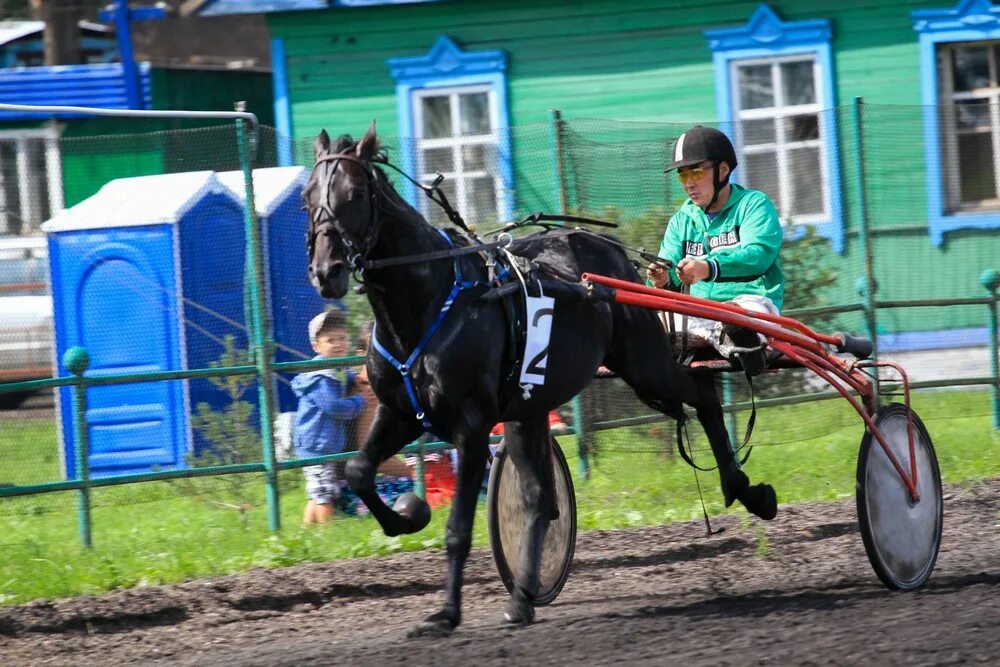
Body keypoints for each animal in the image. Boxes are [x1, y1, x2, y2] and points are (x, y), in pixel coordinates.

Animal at [300, 122, 776, 640]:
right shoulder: (400, 413)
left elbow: (458, 529)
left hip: (645, 364)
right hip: (529, 407)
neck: (429, 303)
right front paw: (407, 516)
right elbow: (357, 470)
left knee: (702, 394)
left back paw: (747, 489)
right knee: (540, 500)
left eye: (354, 194)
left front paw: (445, 613)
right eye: (307, 198)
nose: (326, 272)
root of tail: (608, 250)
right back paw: (524, 597)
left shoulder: (471, 427)